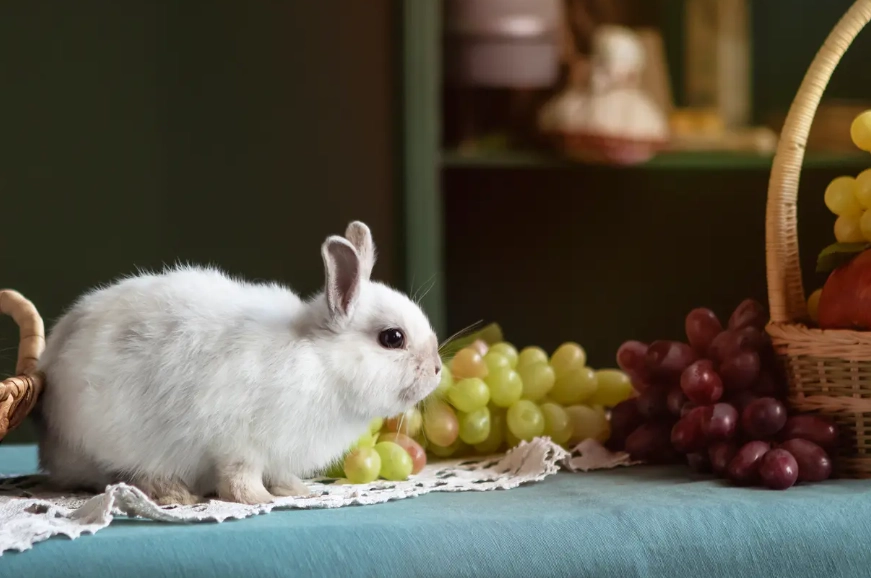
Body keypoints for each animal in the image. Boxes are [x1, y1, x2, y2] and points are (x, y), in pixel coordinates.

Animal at [34, 221, 442, 505]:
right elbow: (239, 480)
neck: (323, 364)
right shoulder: (238, 445)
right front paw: (260, 500)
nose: (438, 369)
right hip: (121, 438)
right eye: (393, 338)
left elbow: (280, 475)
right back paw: (176, 494)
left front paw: (298, 491)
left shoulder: (278, 455)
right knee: (125, 475)